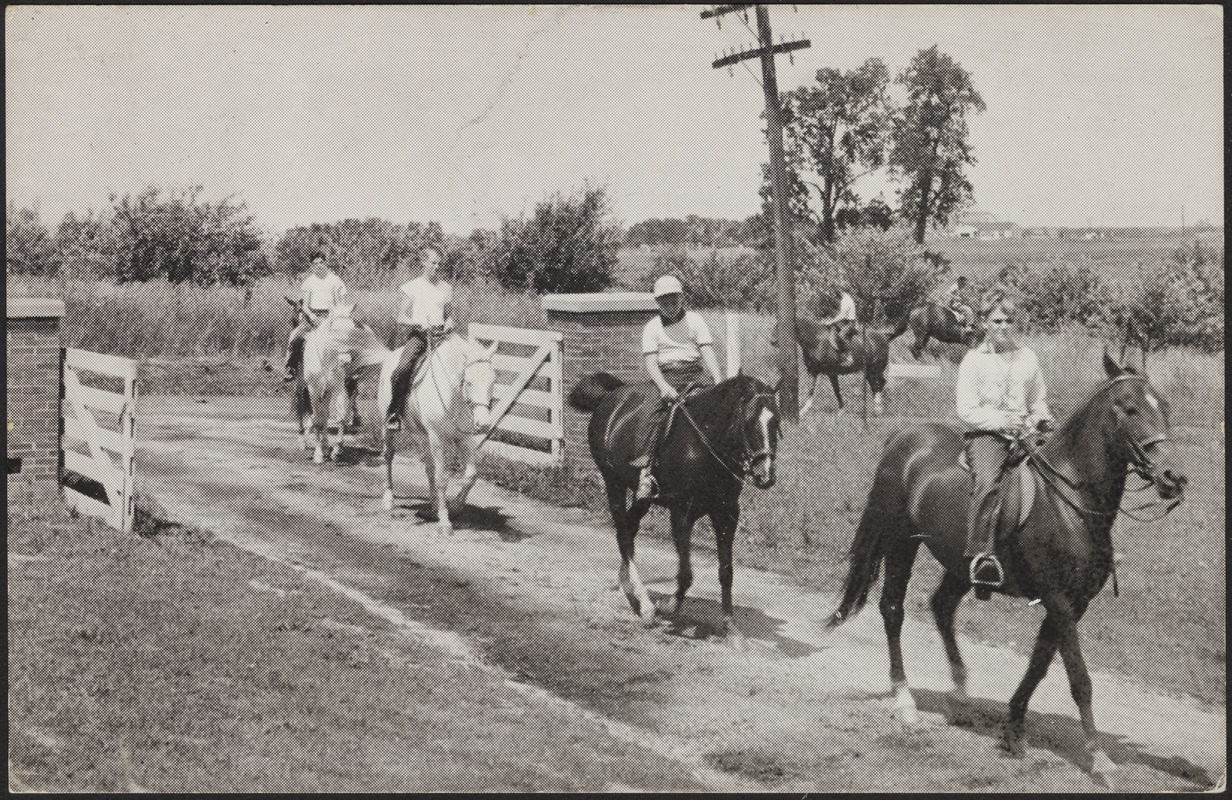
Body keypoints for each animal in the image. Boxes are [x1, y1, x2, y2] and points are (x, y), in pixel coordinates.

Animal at [374, 327, 495, 532]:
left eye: (493, 382)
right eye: (469, 382)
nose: (484, 423)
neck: (454, 396)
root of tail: (391, 357)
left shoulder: (463, 439)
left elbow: (471, 475)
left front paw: (455, 507)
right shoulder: (437, 439)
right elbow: (441, 478)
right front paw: (445, 521)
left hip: (423, 436)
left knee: (428, 468)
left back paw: (432, 507)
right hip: (388, 427)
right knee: (389, 455)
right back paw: (389, 498)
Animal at [566, 372, 778, 640]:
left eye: (776, 421)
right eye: (749, 421)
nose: (765, 476)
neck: (705, 443)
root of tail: (612, 396)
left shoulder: (727, 513)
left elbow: (726, 571)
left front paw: (730, 627)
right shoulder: (681, 513)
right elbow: (686, 573)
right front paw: (668, 606)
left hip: (642, 497)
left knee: (629, 528)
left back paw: (628, 586)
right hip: (613, 481)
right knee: (623, 533)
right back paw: (645, 605)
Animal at [822, 350, 1187, 779]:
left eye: (1164, 407)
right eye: (1129, 408)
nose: (1174, 478)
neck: (1071, 503)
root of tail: (903, 438)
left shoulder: (1071, 604)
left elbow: (1039, 666)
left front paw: (1013, 731)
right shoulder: (1058, 599)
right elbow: (1079, 677)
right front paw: (1099, 758)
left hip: (962, 564)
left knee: (941, 606)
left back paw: (961, 696)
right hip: (901, 543)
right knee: (893, 609)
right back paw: (905, 700)